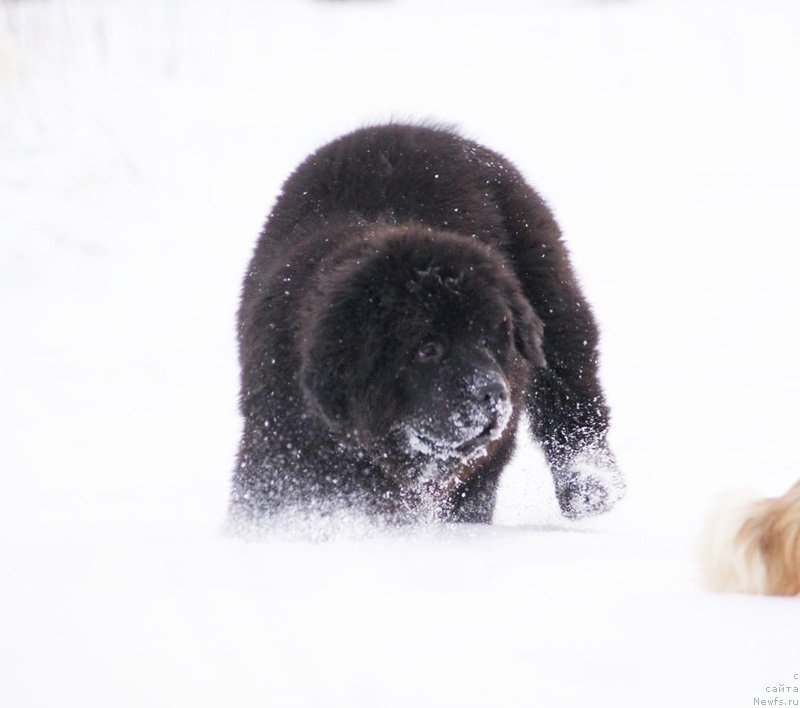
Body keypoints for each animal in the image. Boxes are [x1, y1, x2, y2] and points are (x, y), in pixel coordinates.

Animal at [231, 124, 624, 528]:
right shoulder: (277, 437)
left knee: (571, 402)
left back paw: (590, 490)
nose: (492, 394)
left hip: (554, 303)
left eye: (489, 340)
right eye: (427, 349)